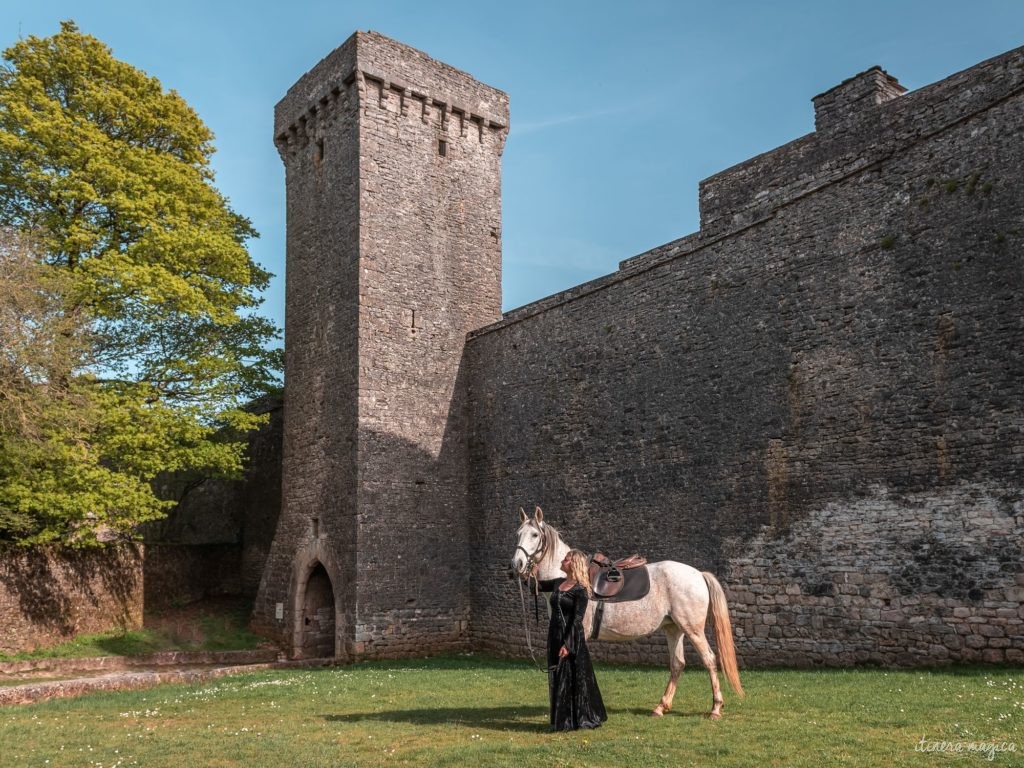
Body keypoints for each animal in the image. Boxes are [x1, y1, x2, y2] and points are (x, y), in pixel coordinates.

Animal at [512, 507, 745, 720]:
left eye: (535, 535)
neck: (569, 578)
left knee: (709, 660)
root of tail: (698, 574)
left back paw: (715, 708)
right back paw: (660, 707)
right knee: (678, 664)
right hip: (674, 629)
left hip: (692, 630)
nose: (517, 564)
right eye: (518, 533)